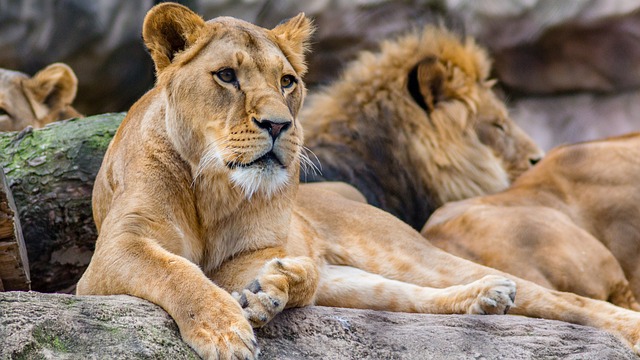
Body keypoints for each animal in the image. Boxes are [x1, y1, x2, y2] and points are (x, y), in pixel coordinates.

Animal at [79, 3, 640, 360]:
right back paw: (483, 298)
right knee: (407, 297)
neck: (212, 186)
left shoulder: (253, 256)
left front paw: (271, 291)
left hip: (405, 252)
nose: (279, 125)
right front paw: (226, 328)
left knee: (559, 300)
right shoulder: (112, 255)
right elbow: (177, 272)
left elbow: (294, 272)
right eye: (226, 76)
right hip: (370, 283)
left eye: (288, 81)